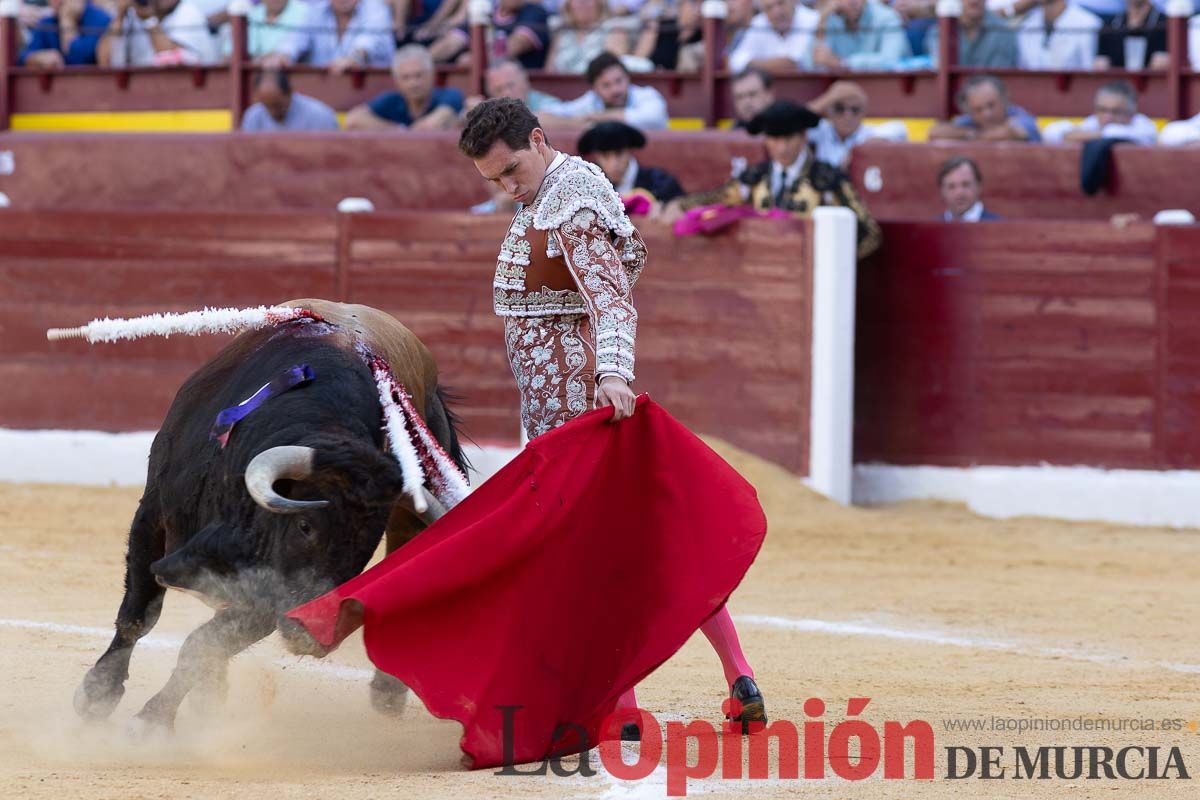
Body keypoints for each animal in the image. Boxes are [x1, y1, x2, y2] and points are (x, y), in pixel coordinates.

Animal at [70, 299, 463, 734]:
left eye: (364, 544)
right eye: (306, 526)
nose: (312, 635)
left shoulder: (270, 597)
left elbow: (203, 646)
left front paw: (152, 721)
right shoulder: (152, 516)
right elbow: (139, 615)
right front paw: (97, 695)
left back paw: (387, 692)